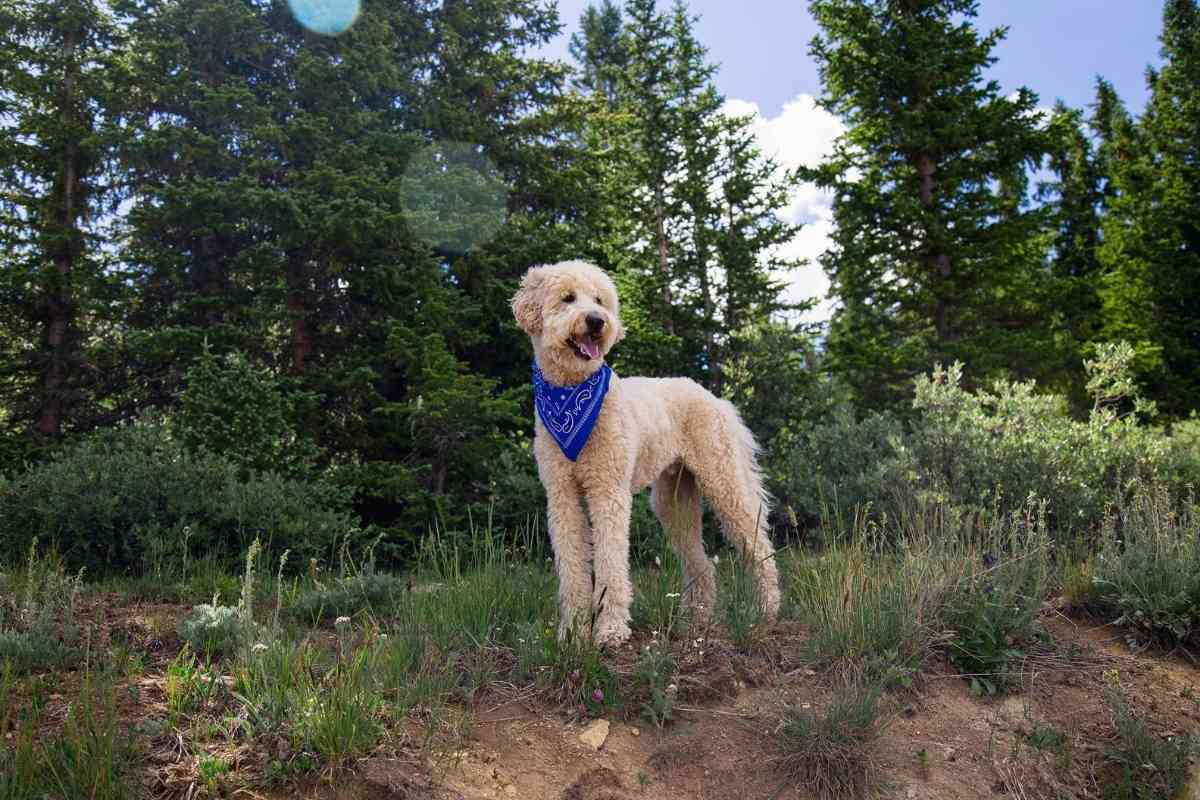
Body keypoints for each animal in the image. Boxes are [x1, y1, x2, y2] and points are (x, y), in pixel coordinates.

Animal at [511, 260, 782, 647]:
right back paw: (696, 619)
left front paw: (609, 630)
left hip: (723, 481)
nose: (597, 321)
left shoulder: (608, 491)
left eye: (599, 300)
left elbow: (610, 564)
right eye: (567, 298)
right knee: (701, 563)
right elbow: (573, 566)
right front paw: (573, 631)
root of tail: (714, 398)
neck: (570, 398)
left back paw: (767, 611)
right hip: (674, 501)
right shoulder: (562, 496)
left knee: (759, 546)